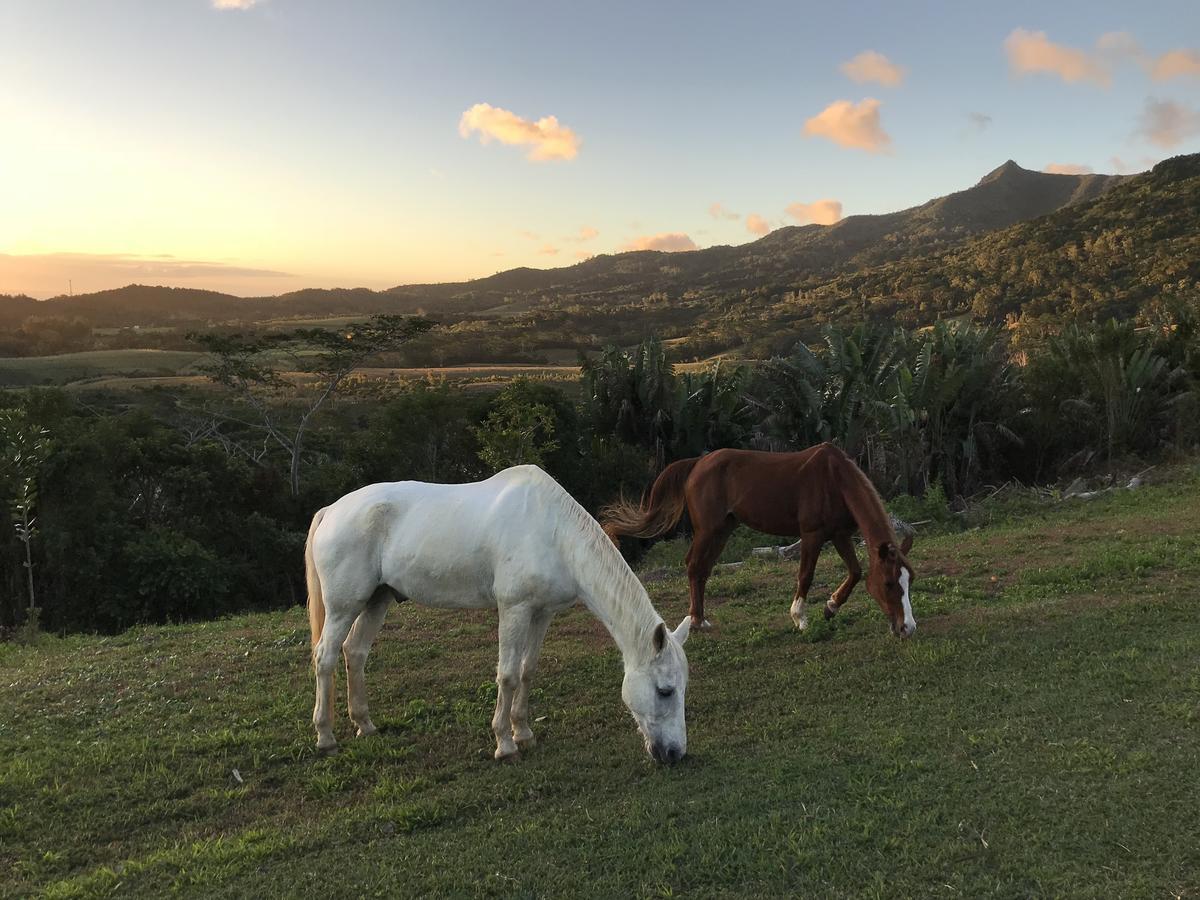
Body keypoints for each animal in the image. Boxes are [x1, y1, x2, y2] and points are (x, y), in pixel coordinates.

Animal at [304, 468, 691, 763]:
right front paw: (505, 744)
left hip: (377, 600)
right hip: (344, 606)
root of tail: (331, 511)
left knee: (355, 652)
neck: (552, 532)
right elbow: (507, 675)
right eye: (665, 690)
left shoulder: (542, 613)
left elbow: (527, 671)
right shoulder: (514, 610)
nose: (675, 753)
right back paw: (325, 737)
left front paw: (524, 732)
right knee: (325, 657)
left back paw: (365, 725)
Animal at [604, 448, 912, 638]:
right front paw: (799, 618)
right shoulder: (812, 535)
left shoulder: (839, 534)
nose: (907, 627)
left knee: (703, 569)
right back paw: (695, 620)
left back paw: (701, 618)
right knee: (693, 565)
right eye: (889, 584)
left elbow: (856, 572)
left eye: (910, 580)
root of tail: (697, 464)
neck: (834, 479)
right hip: (708, 529)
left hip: (723, 530)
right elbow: (806, 575)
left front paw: (831, 607)